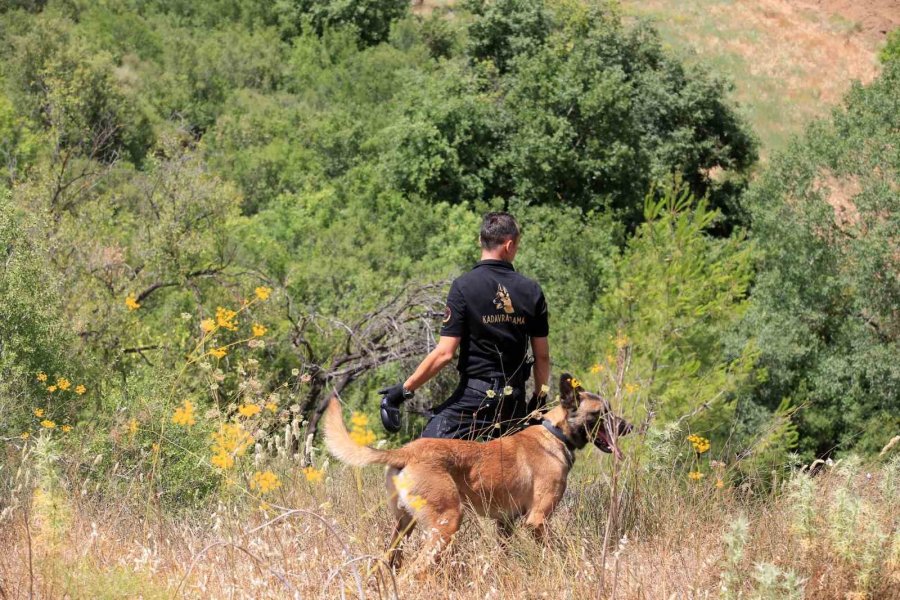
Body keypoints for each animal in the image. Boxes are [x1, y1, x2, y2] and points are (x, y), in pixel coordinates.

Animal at [324, 370, 632, 572]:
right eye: (602, 413)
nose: (629, 426)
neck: (554, 433)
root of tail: (406, 451)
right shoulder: (538, 520)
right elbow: (556, 553)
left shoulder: (505, 523)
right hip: (447, 524)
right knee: (413, 571)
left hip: (403, 528)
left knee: (388, 563)